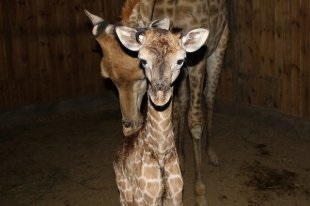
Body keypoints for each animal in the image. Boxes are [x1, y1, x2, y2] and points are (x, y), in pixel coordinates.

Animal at [112, 18, 209, 205]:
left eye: (180, 60)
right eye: (142, 60)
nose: (159, 96)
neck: (162, 153)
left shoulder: (176, 196)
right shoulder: (146, 199)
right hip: (124, 192)